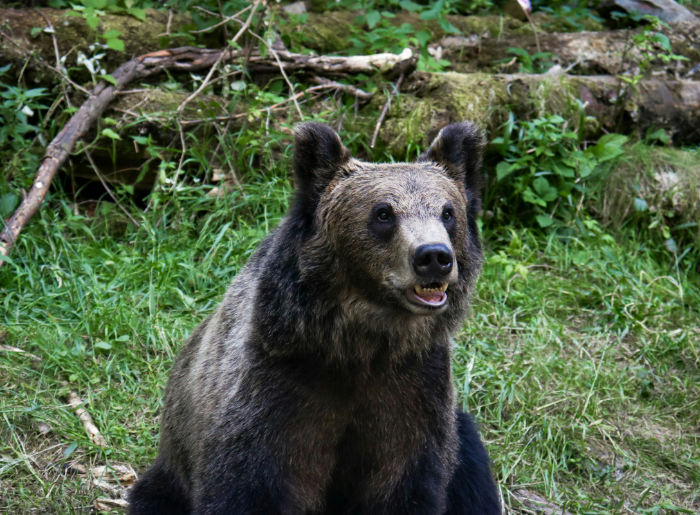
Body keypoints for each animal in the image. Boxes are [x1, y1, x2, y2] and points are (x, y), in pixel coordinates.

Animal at [129, 121, 500, 515]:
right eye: (383, 213)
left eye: (447, 212)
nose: (433, 256)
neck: (360, 344)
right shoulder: (278, 390)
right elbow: (248, 484)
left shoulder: (414, 392)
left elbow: (408, 482)